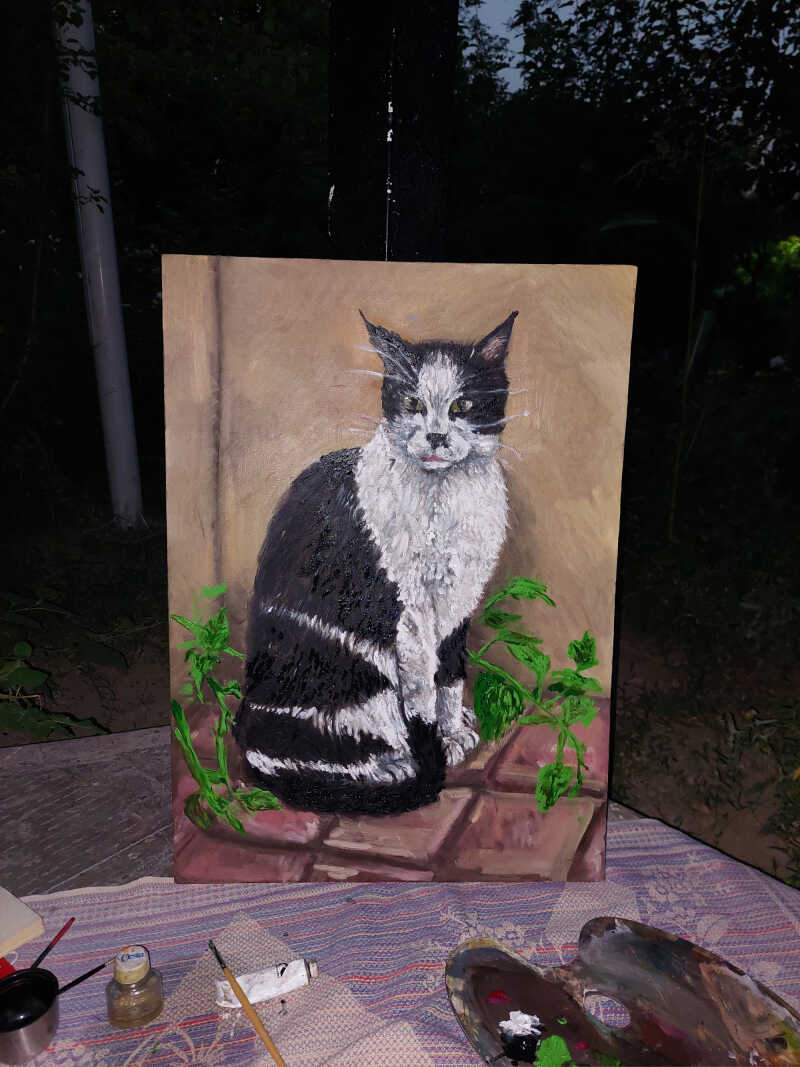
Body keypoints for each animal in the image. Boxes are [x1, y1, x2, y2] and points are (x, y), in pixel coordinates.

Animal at [233, 309, 517, 814]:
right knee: (320, 750)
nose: (436, 436)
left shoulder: (457, 606)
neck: (443, 498)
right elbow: (422, 692)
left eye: (463, 405)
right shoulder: (411, 617)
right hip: (358, 673)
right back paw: (394, 765)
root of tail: (247, 731)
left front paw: (453, 732)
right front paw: (437, 744)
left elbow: (449, 677)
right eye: (413, 403)